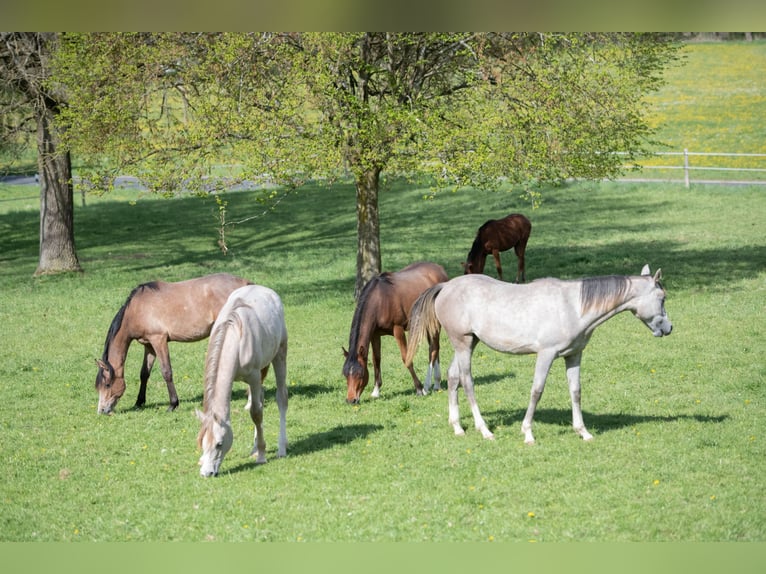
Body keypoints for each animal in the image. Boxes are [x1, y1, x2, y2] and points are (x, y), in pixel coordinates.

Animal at [95, 273, 252, 414]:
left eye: (107, 384)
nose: (102, 411)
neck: (136, 310)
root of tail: (245, 284)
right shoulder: (149, 346)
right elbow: (144, 373)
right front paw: (139, 402)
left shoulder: (159, 340)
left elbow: (166, 372)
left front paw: (172, 404)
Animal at [196, 284, 288, 477]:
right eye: (202, 443)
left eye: (219, 444)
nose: (207, 473)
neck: (235, 336)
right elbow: (256, 407)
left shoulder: (253, 376)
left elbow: (256, 413)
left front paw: (261, 455)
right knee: (260, 397)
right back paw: (254, 447)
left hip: (280, 354)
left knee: (281, 398)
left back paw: (281, 447)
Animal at [342, 261, 449, 404]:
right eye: (345, 374)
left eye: (360, 374)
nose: (351, 400)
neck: (379, 299)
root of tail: (440, 269)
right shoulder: (375, 334)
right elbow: (376, 359)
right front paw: (376, 391)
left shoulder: (398, 330)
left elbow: (406, 358)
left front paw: (419, 388)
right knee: (434, 350)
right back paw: (436, 383)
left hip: (435, 322)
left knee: (434, 349)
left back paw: (427, 386)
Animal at [405, 265, 672, 444]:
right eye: (662, 297)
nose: (668, 328)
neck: (572, 306)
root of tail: (446, 287)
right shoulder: (546, 354)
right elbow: (537, 391)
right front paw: (528, 433)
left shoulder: (573, 355)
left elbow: (576, 392)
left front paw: (583, 432)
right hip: (462, 344)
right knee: (467, 381)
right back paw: (485, 430)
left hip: (469, 343)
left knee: (452, 378)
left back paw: (458, 427)